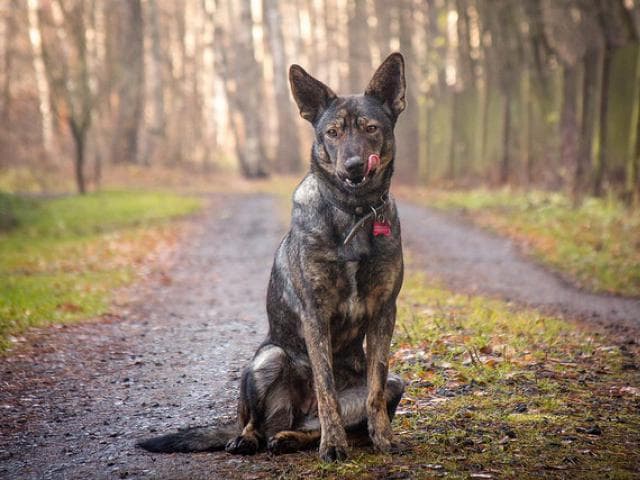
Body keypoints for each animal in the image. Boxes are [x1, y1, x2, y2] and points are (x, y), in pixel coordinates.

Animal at [139, 51, 408, 462]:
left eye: (371, 129)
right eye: (332, 133)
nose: (353, 167)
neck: (353, 213)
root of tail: (296, 413)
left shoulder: (383, 313)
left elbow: (374, 390)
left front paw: (384, 439)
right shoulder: (315, 314)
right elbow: (326, 389)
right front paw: (334, 446)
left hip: (396, 381)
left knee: (312, 424)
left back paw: (293, 439)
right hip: (267, 359)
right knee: (255, 421)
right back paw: (249, 439)